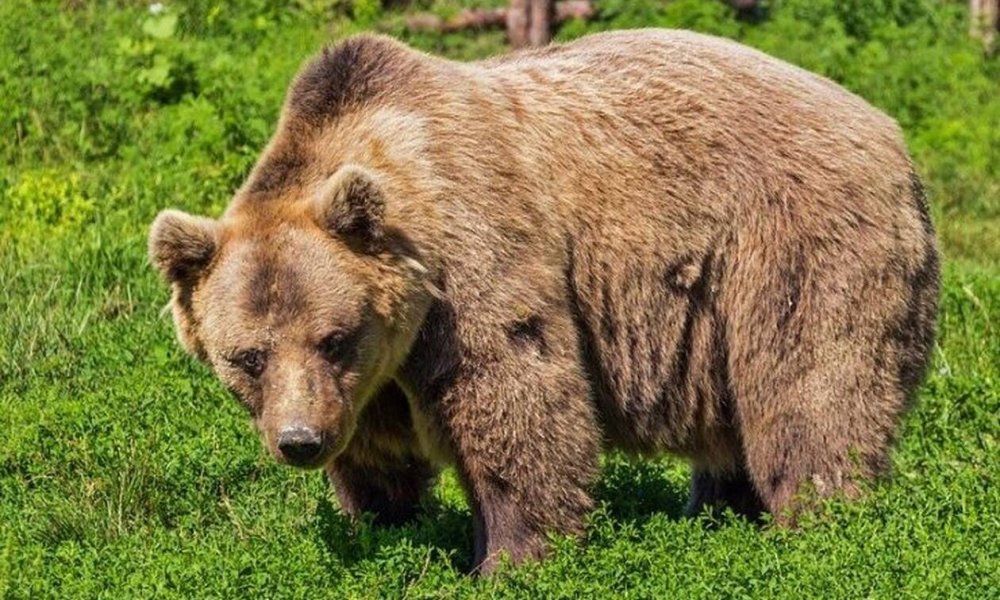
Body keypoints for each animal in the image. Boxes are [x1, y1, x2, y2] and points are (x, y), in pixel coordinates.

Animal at [146, 29, 936, 572]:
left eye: (333, 337)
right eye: (247, 356)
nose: (300, 441)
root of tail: (891, 131)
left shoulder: (473, 260)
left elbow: (515, 396)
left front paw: (510, 557)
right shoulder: (373, 379)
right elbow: (377, 452)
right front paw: (385, 523)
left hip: (792, 245)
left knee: (810, 390)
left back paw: (820, 523)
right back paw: (717, 513)